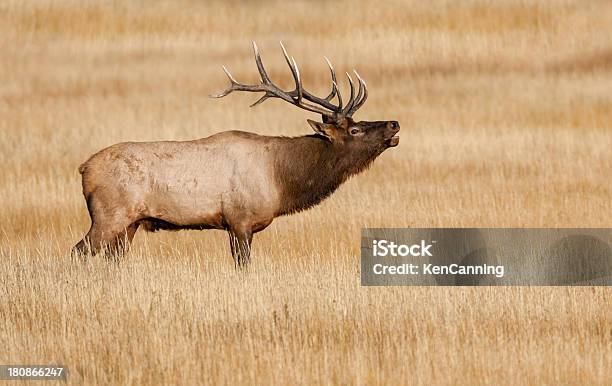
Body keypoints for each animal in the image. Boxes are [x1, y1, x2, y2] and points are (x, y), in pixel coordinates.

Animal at [71, 42, 400, 266]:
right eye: (354, 130)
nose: (393, 124)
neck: (281, 180)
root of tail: (84, 168)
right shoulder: (240, 220)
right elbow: (243, 264)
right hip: (108, 215)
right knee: (78, 251)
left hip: (130, 224)